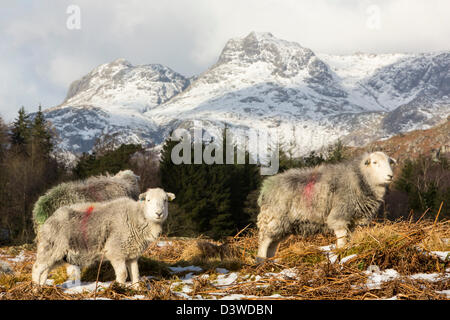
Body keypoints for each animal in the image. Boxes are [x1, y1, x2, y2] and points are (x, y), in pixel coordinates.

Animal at [31, 186, 175, 288]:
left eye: (165, 200)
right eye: (148, 200)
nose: (159, 213)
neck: (136, 217)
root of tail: (49, 219)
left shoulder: (132, 254)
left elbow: (135, 274)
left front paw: (137, 289)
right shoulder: (116, 251)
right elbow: (123, 274)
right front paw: (121, 289)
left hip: (59, 255)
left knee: (45, 271)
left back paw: (42, 288)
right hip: (51, 247)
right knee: (37, 268)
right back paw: (35, 289)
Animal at [255, 151, 396, 262]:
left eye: (390, 162)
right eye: (375, 162)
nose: (390, 176)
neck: (360, 178)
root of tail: (265, 188)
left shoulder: (352, 220)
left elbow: (349, 238)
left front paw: (349, 251)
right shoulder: (340, 214)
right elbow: (342, 238)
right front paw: (341, 252)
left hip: (284, 224)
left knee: (273, 244)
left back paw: (271, 262)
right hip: (273, 218)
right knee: (265, 241)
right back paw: (261, 262)